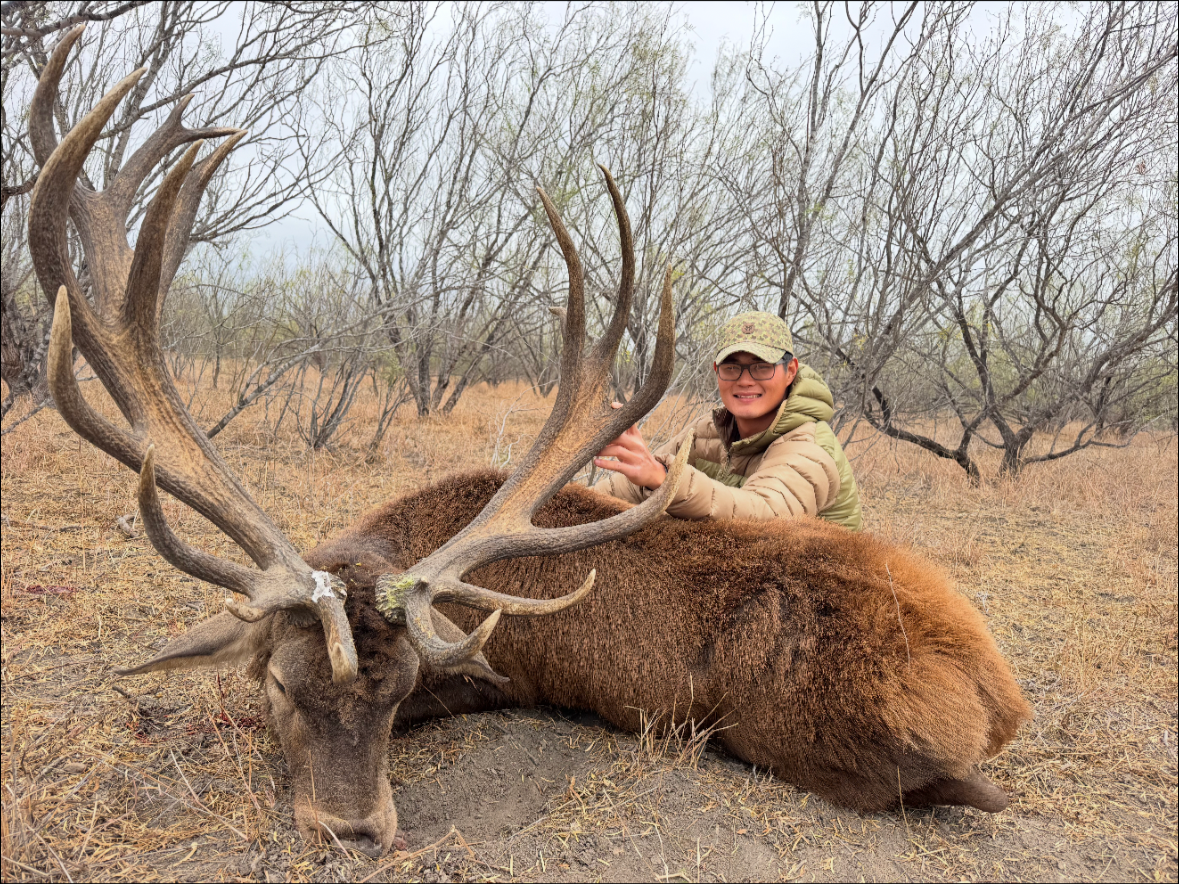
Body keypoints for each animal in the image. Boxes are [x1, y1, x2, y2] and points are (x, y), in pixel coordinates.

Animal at [28, 27, 1030, 860]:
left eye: (399, 696)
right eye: (280, 683)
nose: (355, 829)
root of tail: (1000, 700)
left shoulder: (490, 674)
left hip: (811, 739)